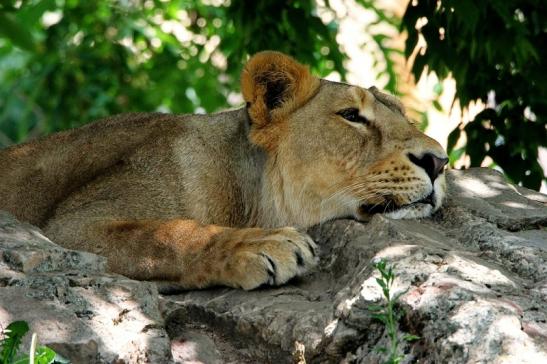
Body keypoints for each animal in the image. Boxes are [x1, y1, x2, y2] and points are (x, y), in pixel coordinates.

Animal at [0, 51, 448, 290]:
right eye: (351, 116)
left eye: (407, 119)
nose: (439, 161)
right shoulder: (67, 228)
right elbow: (164, 234)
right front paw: (264, 244)